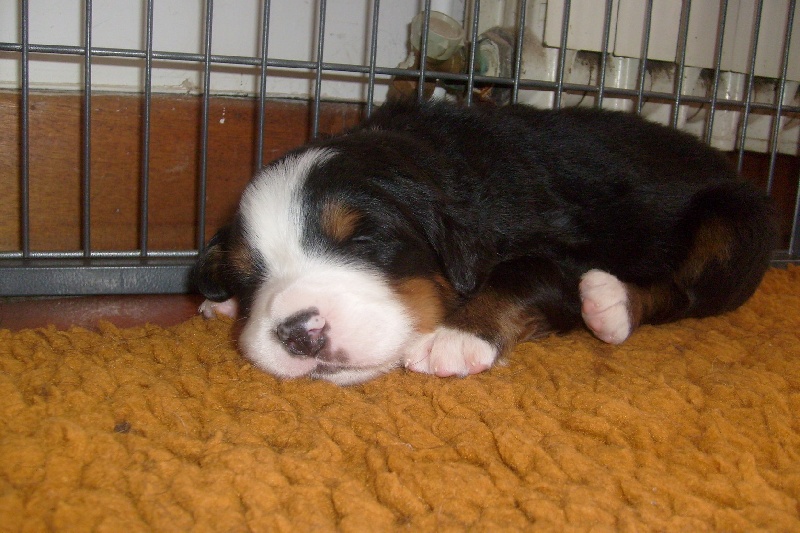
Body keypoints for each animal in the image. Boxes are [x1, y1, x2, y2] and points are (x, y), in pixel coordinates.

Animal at [192, 98, 776, 382]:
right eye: (247, 276)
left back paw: (611, 306)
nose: (297, 333)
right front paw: (227, 306)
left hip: (730, 222)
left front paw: (457, 335)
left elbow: (521, 273)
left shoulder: (563, 248)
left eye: (364, 240)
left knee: (684, 294)